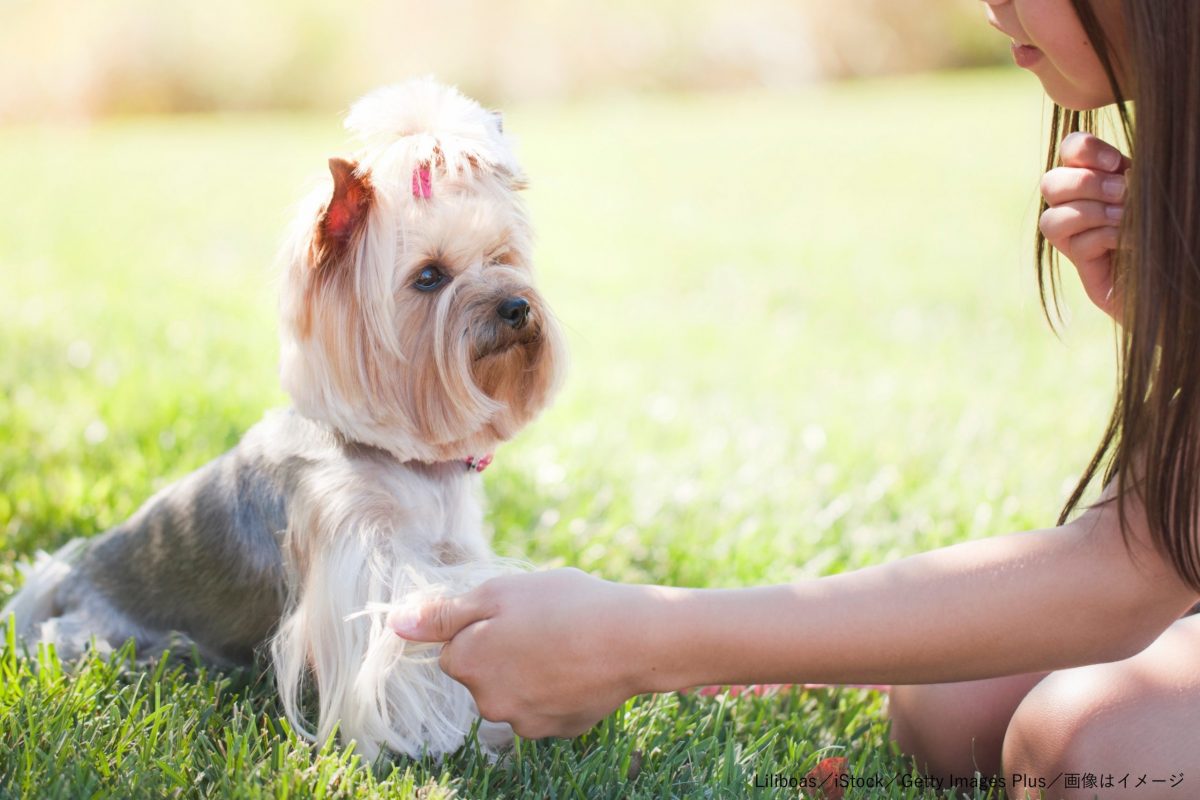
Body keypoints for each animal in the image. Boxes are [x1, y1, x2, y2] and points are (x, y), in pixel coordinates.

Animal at [1, 77, 566, 762]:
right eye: (429, 277)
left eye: (501, 257)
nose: (516, 306)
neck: (396, 457)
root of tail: (66, 578)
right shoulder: (362, 567)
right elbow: (410, 664)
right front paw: (469, 740)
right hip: (104, 637)